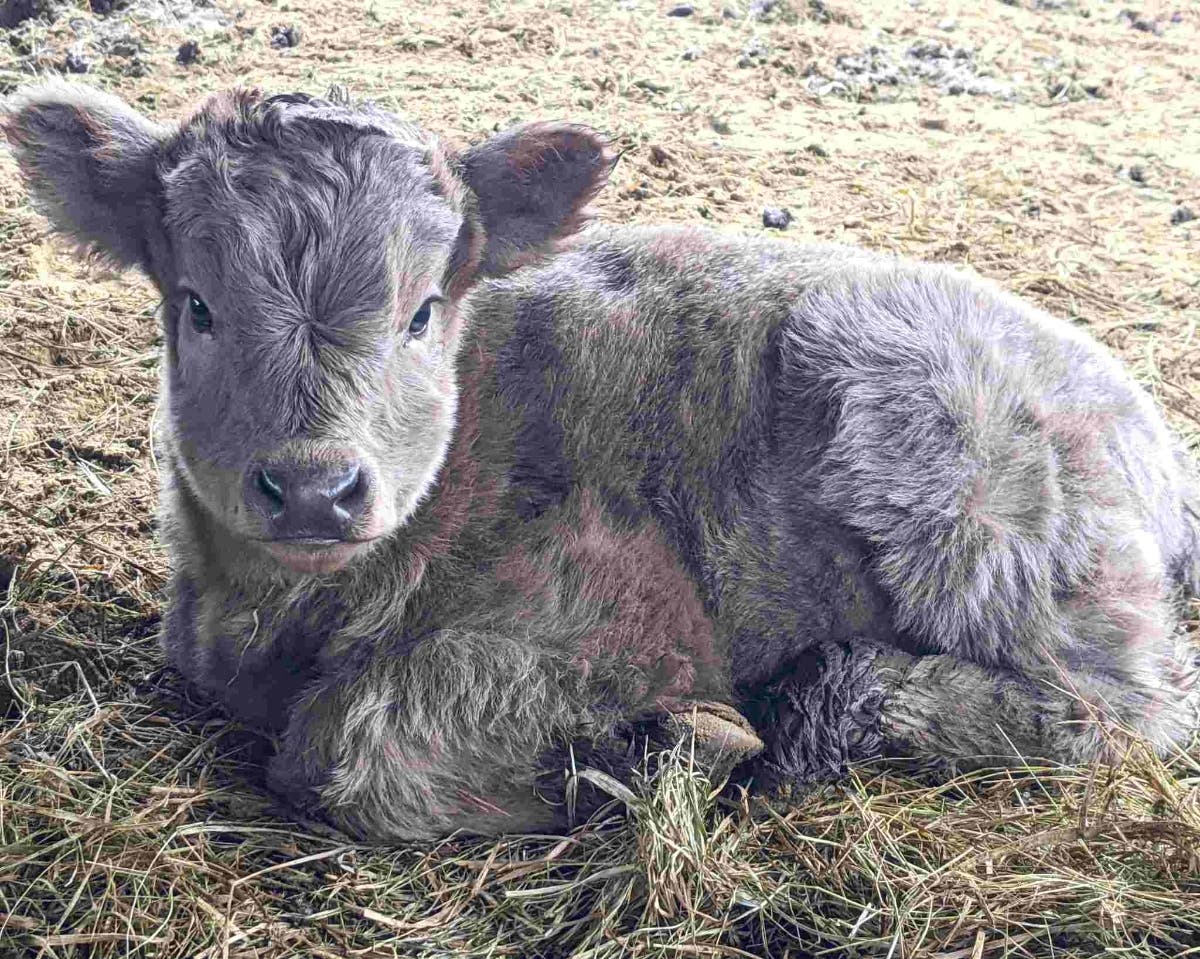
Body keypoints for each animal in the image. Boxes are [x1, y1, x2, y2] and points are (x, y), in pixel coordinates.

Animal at [3, 81, 1198, 841]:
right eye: (195, 306)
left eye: (423, 311)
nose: (313, 487)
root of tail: (1149, 430)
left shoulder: (623, 603)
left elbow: (346, 744)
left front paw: (659, 749)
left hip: (973, 496)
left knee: (1126, 710)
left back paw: (825, 705)